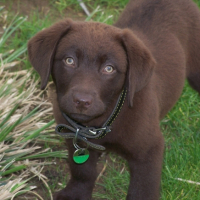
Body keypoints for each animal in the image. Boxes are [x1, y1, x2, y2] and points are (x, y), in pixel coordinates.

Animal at [27, 0, 200, 199]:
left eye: (108, 68)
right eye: (69, 61)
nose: (82, 101)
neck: (103, 121)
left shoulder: (149, 152)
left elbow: (142, 189)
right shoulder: (74, 138)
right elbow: (82, 171)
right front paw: (76, 193)